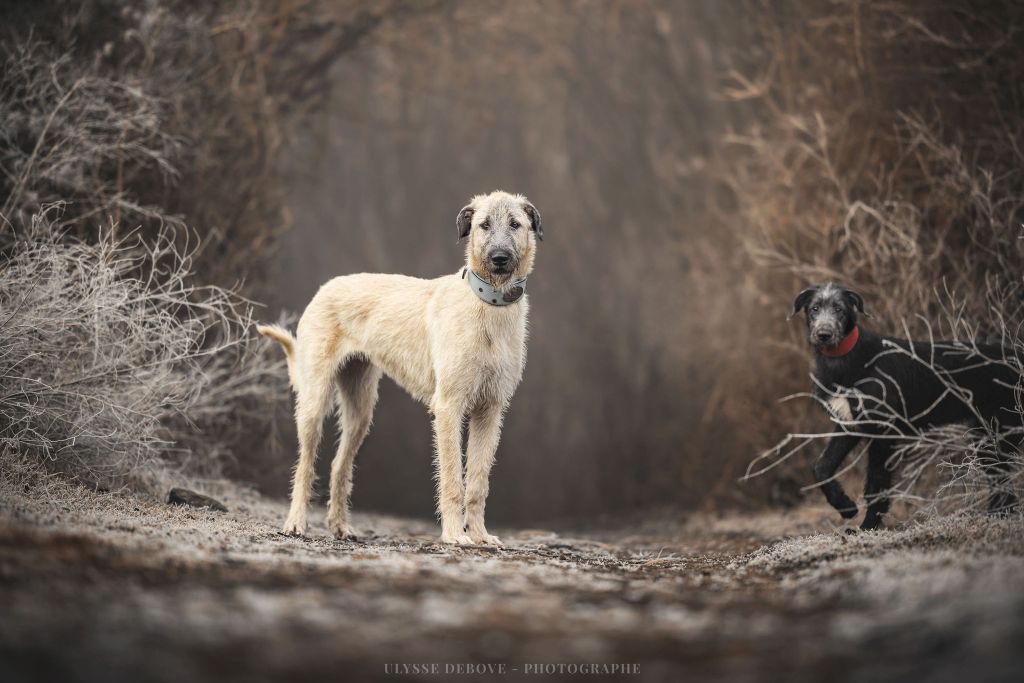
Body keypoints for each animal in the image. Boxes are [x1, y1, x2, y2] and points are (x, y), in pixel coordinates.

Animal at [260, 191, 540, 544]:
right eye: (484, 225)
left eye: (515, 224)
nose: (499, 258)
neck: (487, 304)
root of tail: (326, 287)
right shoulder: (448, 407)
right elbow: (452, 477)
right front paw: (455, 535)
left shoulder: (490, 409)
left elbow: (478, 480)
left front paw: (479, 536)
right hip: (314, 401)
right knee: (305, 463)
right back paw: (296, 522)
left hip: (361, 408)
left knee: (339, 465)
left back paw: (340, 526)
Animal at [786, 282, 1019, 528]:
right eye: (814, 309)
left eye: (839, 309)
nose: (824, 335)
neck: (844, 359)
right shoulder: (849, 424)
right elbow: (821, 466)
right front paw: (845, 506)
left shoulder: (883, 430)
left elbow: (876, 483)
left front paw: (869, 526)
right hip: (983, 434)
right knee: (1000, 480)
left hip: (999, 429)